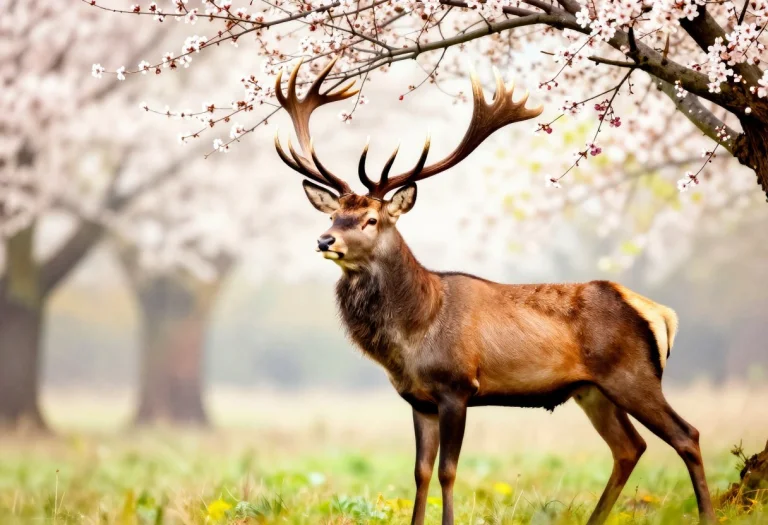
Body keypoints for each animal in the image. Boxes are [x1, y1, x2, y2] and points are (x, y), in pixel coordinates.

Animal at [273, 58, 716, 525]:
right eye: (334, 215)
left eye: (371, 220)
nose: (325, 241)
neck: (415, 331)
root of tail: (659, 312)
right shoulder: (418, 400)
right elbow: (420, 472)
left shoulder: (458, 386)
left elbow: (448, 471)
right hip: (593, 389)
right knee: (629, 447)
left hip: (632, 374)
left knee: (686, 434)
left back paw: (707, 513)